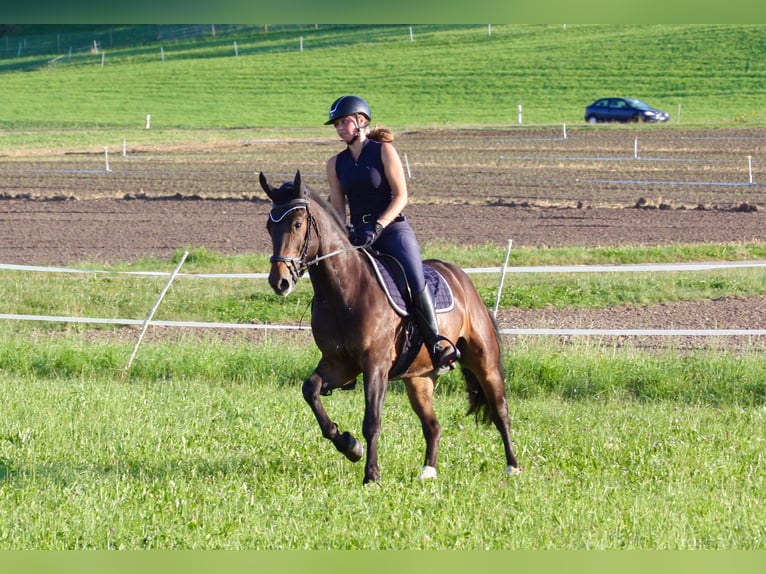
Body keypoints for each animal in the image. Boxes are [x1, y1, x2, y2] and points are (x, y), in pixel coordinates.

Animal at [260, 171, 520, 486]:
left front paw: (371, 475)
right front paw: (349, 445)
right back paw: (428, 471)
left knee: (500, 411)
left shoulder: (376, 365)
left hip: (484, 362)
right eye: (269, 226)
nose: (280, 282)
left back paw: (513, 466)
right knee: (432, 425)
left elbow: (372, 421)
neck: (343, 292)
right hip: (418, 379)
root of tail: (462, 278)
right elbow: (310, 390)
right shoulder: (338, 364)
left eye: (297, 224)